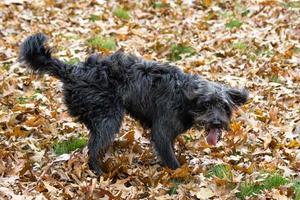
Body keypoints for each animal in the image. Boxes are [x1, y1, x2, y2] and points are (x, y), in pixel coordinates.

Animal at [19, 33, 248, 174]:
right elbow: (170, 156)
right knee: (93, 149)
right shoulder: (162, 130)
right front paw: (180, 174)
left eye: (224, 106)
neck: (184, 97)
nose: (217, 123)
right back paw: (99, 171)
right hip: (109, 118)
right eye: (206, 104)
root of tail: (74, 71)